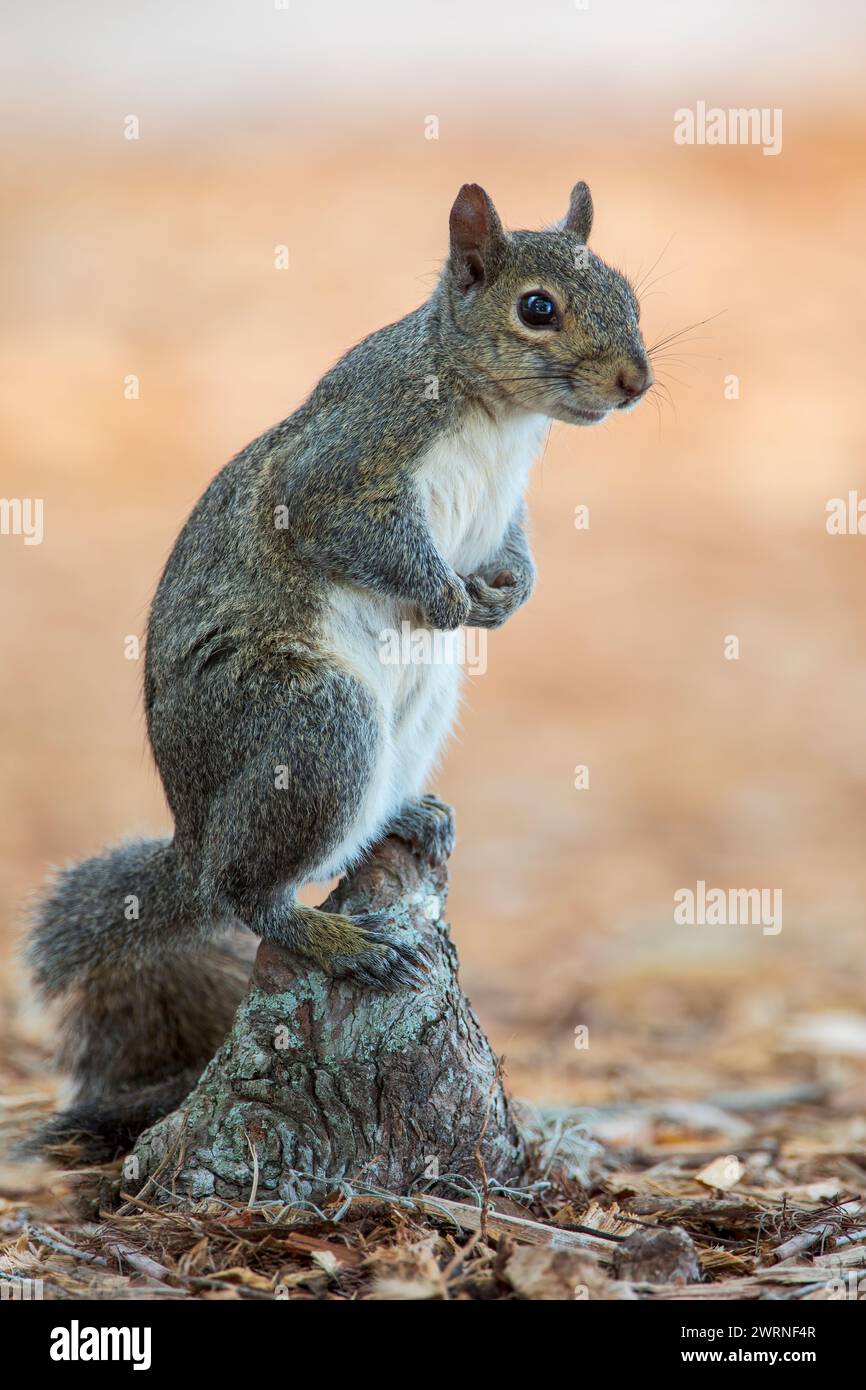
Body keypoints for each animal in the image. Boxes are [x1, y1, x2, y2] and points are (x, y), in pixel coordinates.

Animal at [25, 184, 650, 1162]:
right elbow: (345, 527)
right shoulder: (348, 458)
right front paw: (445, 595)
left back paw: (408, 817)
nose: (635, 382)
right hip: (310, 720)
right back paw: (332, 937)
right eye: (537, 308)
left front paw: (509, 593)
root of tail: (195, 839)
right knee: (247, 893)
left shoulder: (505, 505)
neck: (495, 414)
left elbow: (515, 549)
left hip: (418, 709)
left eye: (629, 292)